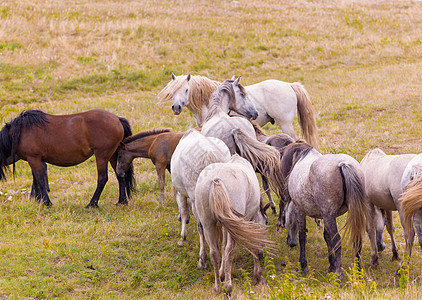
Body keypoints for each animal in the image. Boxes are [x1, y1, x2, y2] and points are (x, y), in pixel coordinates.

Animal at [0, 108, 134, 209]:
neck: (20, 132)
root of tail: (117, 119)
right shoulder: (34, 160)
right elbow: (37, 180)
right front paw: (38, 200)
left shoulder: (34, 158)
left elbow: (40, 181)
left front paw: (47, 203)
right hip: (113, 155)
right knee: (120, 175)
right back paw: (122, 201)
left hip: (102, 155)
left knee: (102, 178)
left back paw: (92, 204)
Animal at [169, 127, 231, 268]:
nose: (178, 219)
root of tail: (209, 153)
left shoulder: (182, 194)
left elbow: (184, 211)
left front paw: (183, 237)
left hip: (196, 200)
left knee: (201, 226)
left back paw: (202, 258)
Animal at [195, 155, 268, 296]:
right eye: (266, 222)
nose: (263, 252)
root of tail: (216, 180)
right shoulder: (250, 221)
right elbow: (252, 245)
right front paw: (258, 275)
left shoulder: (226, 226)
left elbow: (222, 247)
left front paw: (222, 273)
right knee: (230, 251)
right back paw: (228, 288)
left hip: (208, 224)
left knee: (214, 253)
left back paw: (218, 287)